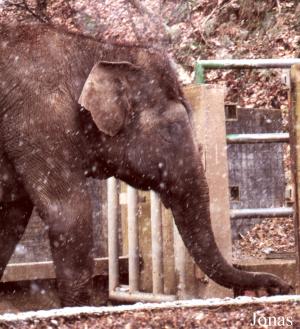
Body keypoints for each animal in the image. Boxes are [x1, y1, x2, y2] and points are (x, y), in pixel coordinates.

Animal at [0, 24, 290, 306]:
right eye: (171, 131)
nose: (280, 286)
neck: (97, 49)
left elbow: (12, 216)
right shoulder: (39, 122)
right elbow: (69, 213)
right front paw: (79, 307)